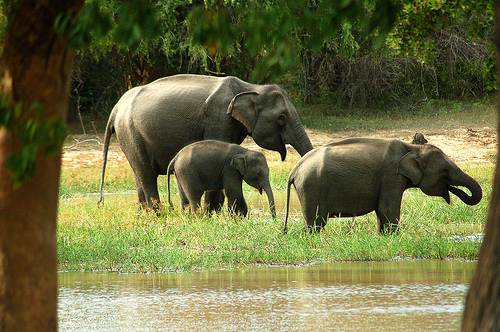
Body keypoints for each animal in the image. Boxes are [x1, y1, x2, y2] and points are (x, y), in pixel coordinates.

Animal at [97, 75, 312, 210]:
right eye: (281, 118)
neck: (251, 87)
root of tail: (116, 108)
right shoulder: (218, 118)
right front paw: (212, 214)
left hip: (130, 137)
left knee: (139, 175)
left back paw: (145, 215)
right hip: (130, 132)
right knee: (146, 174)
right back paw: (157, 214)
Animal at [284, 137, 482, 233]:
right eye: (444, 170)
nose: (454, 191)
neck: (414, 149)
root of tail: (294, 170)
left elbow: (382, 211)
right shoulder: (391, 176)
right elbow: (388, 208)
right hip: (311, 187)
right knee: (315, 223)